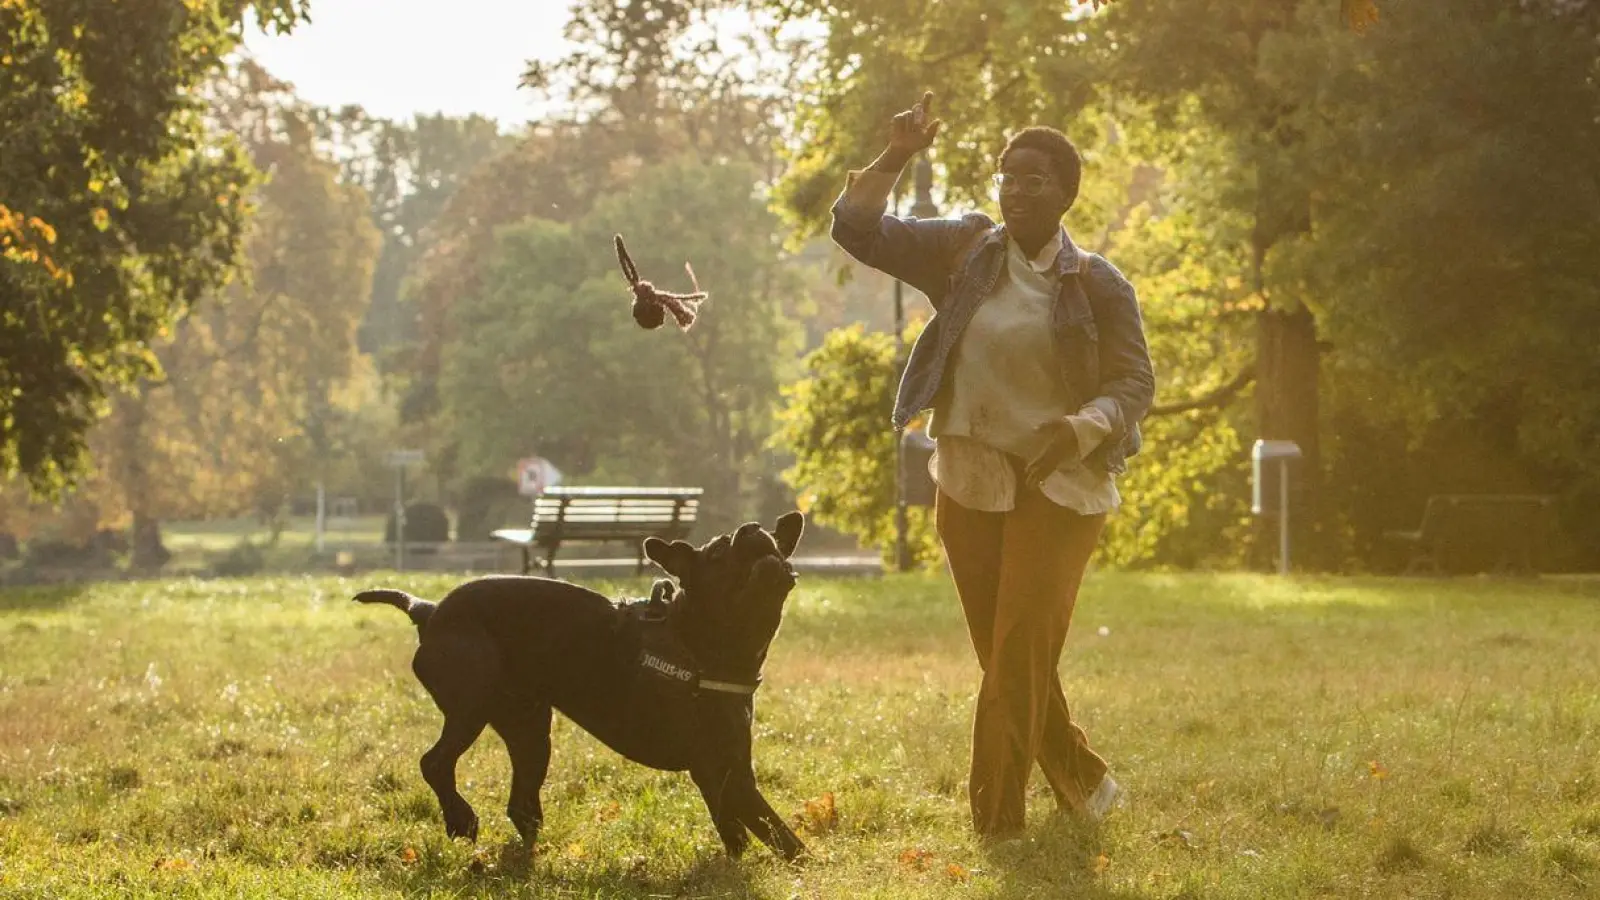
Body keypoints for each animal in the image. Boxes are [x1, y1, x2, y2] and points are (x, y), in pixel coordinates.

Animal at [356, 512, 806, 851]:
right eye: (715, 551)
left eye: (773, 539)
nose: (751, 527)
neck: (699, 647)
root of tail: (430, 611)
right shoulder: (722, 770)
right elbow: (781, 836)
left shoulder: (725, 770)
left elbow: (741, 832)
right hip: (471, 707)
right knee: (434, 762)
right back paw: (461, 819)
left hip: (529, 729)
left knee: (520, 802)